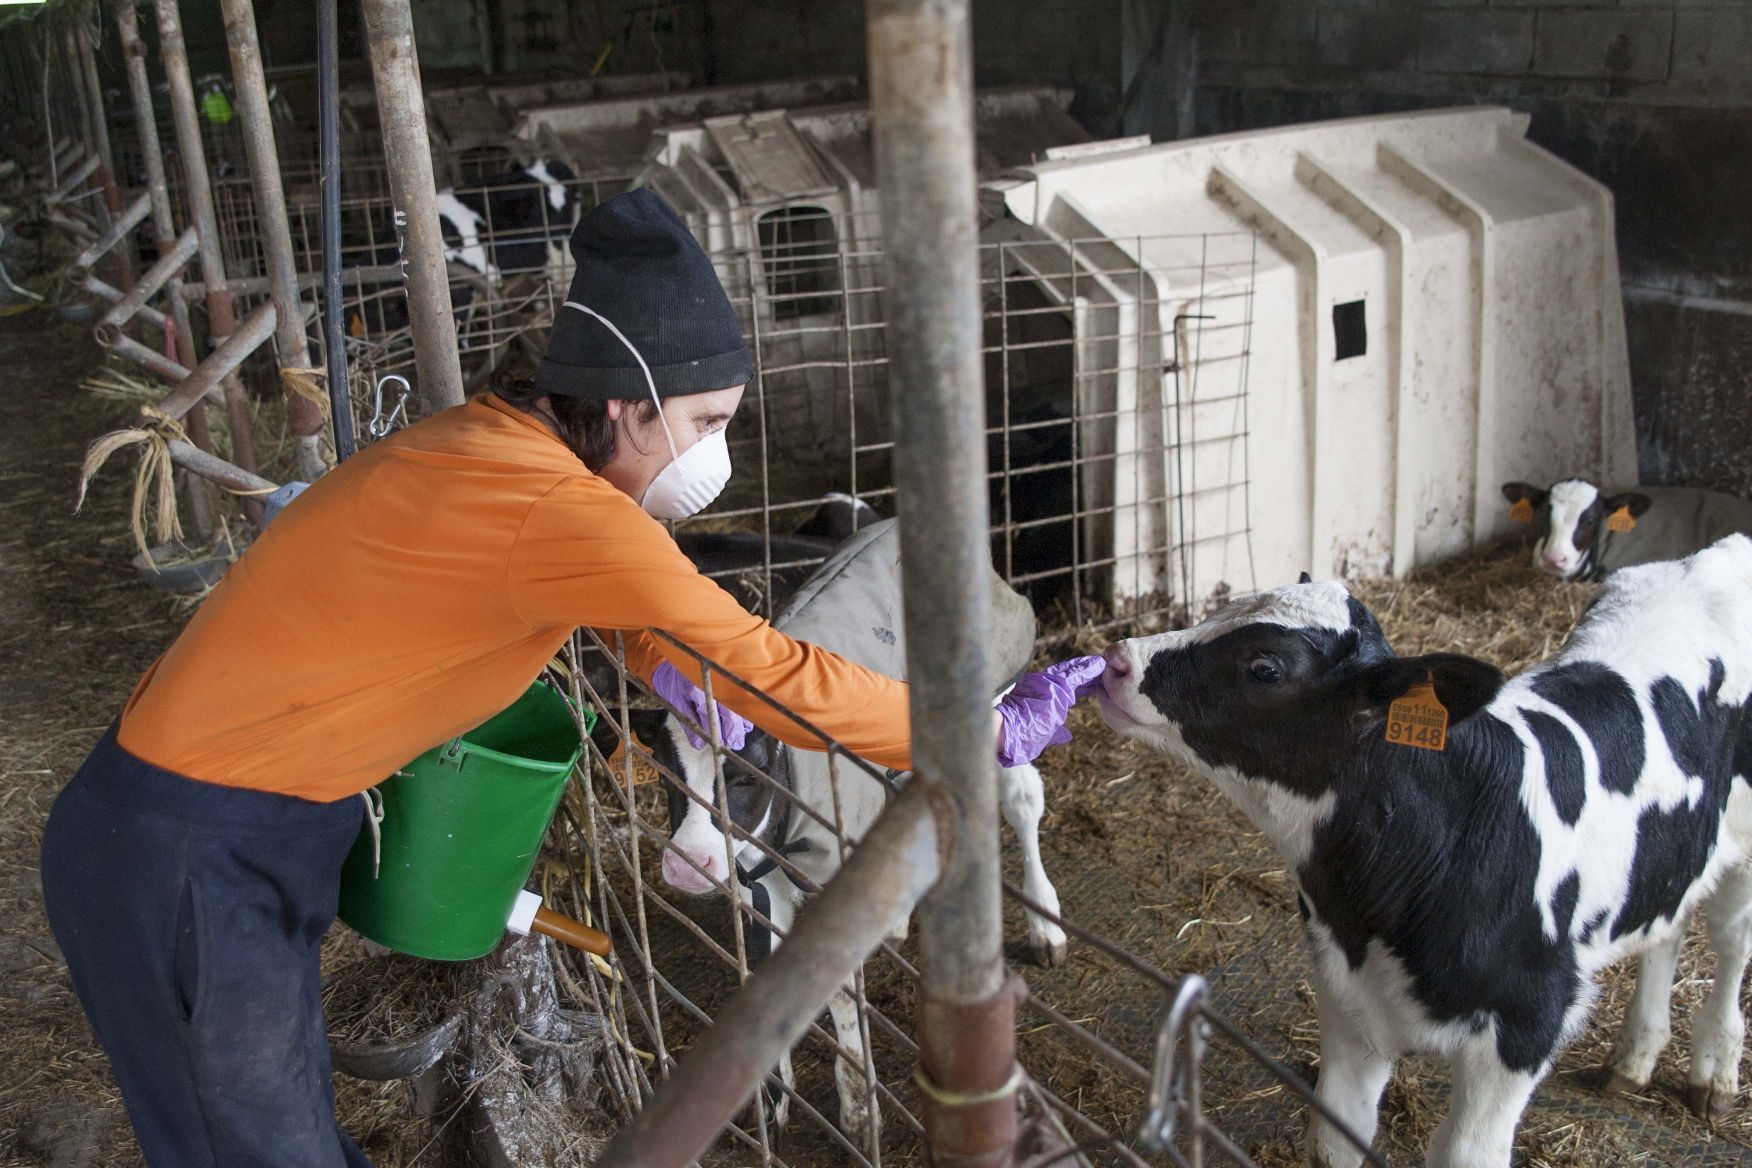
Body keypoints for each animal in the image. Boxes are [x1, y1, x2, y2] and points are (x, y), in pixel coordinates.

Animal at [634, 521, 1058, 1141]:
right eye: (664, 774)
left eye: (742, 775)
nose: (687, 864)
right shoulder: (761, 884)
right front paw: (771, 1095)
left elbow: (836, 993)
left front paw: (859, 1103)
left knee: (1024, 798)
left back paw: (1045, 921)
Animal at [1093, 542, 1752, 1168]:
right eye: (1226, 608)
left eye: (1265, 667)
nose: (1118, 658)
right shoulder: (1346, 995)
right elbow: (1336, 1139)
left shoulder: (1527, 1023)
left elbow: (1465, 1152)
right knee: (1670, 924)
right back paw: (1635, 1057)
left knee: (1730, 944)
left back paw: (1714, 1072)